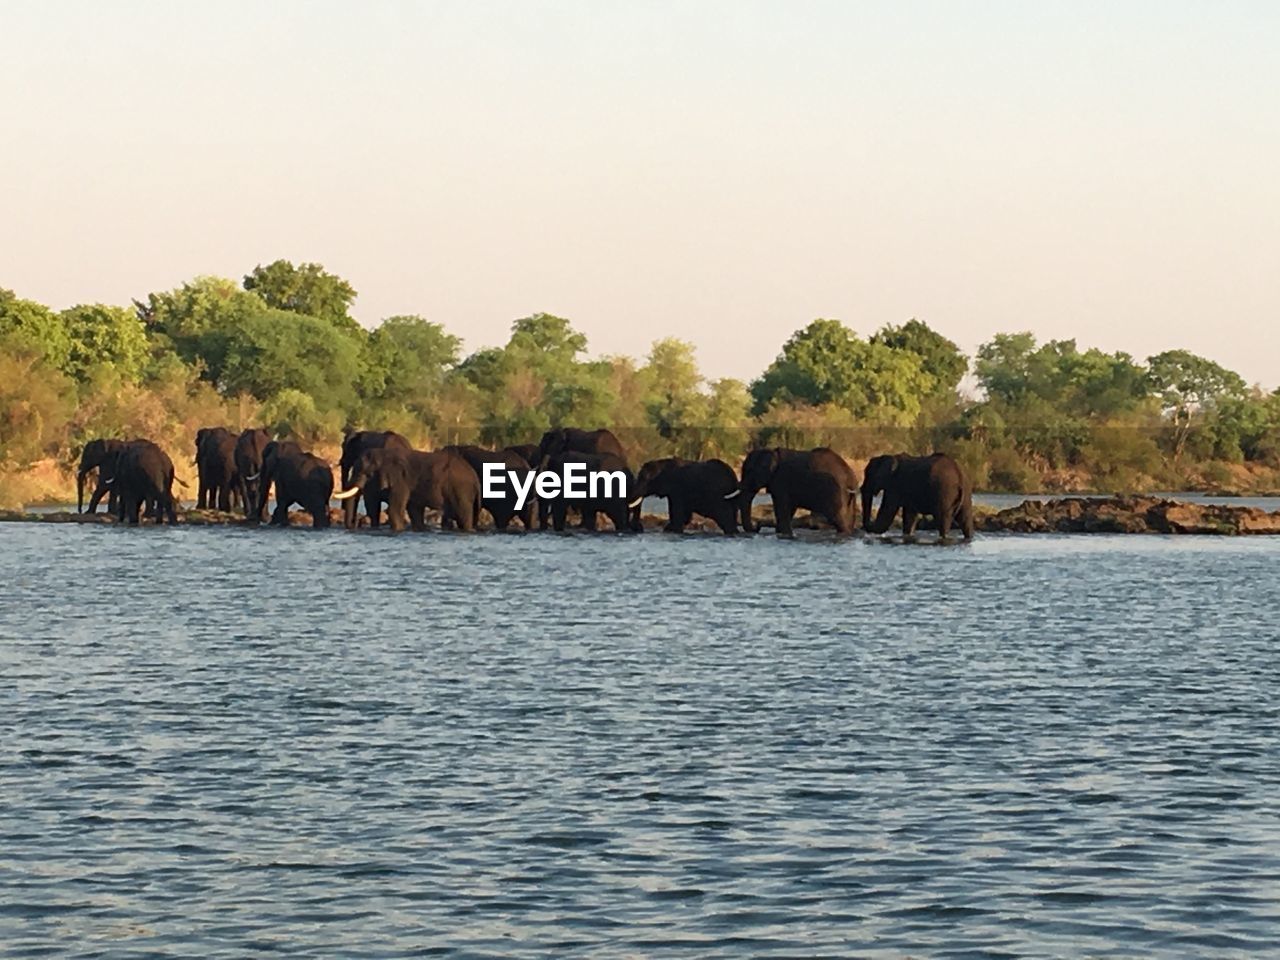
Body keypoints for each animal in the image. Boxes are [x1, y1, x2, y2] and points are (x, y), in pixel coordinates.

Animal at [337, 450, 481, 535]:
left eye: (365, 473)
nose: (354, 524)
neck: (384, 455)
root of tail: (475, 478)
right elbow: (413, 510)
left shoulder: (400, 481)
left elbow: (394, 510)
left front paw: (397, 531)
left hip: (461, 490)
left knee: (463, 515)